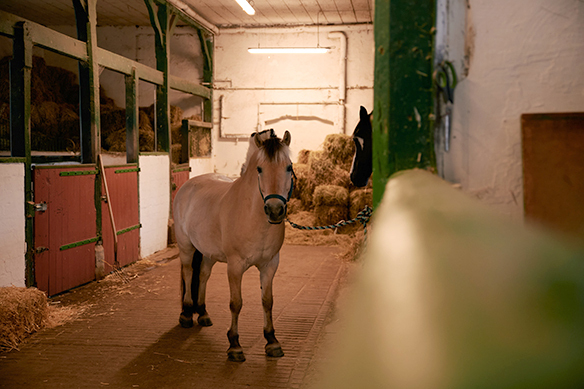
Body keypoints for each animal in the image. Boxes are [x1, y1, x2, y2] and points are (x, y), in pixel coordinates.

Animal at [172, 128, 292, 360]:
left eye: (289, 167)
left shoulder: (270, 265)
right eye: (259, 169)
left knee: (203, 275)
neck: (252, 215)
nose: (274, 210)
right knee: (189, 272)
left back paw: (203, 313)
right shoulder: (235, 267)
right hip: (186, 248)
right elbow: (236, 303)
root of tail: (188, 185)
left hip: (208, 253)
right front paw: (234, 344)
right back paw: (186, 313)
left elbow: (267, 301)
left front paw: (272, 341)